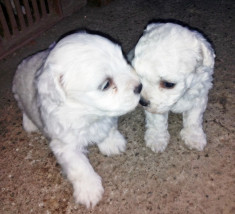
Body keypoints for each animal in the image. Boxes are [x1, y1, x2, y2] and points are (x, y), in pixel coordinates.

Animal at [13, 31, 141, 207]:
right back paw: (29, 124)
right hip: (18, 94)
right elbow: (79, 167)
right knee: (23, 109)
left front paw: (112, 143)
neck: (85, 111)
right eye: (106, 84)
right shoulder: (65, 146)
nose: (140, 87)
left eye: (124, 60)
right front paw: (89, 190)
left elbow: (108, 127)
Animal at [129, 22, 216, 153]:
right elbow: (157, 121)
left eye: (168, 84)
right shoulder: (158, 105)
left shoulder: (199, 96)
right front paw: (157, 138)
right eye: (138, 76)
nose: (142, 102)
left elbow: (194, 119)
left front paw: (194, 137)